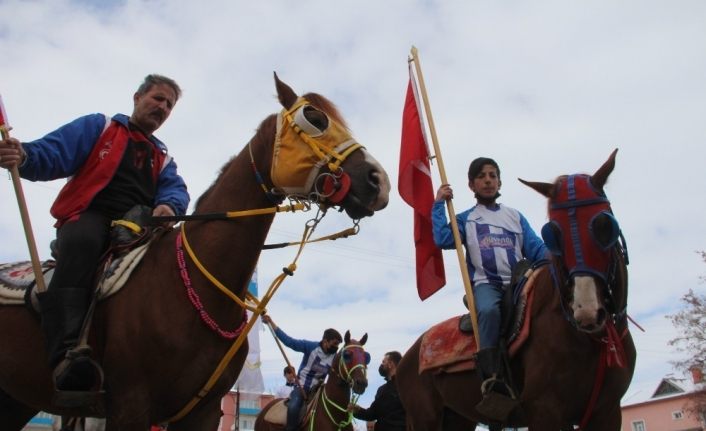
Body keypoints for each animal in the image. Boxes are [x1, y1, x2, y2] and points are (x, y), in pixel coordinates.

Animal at [396, 149, 632, 431]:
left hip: (458, 419)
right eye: (553, 232)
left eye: (605, 224)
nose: (586, 311)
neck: (590, 340)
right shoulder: (545, 411)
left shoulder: (607, 411)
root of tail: (407, 357)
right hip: (424, 418)